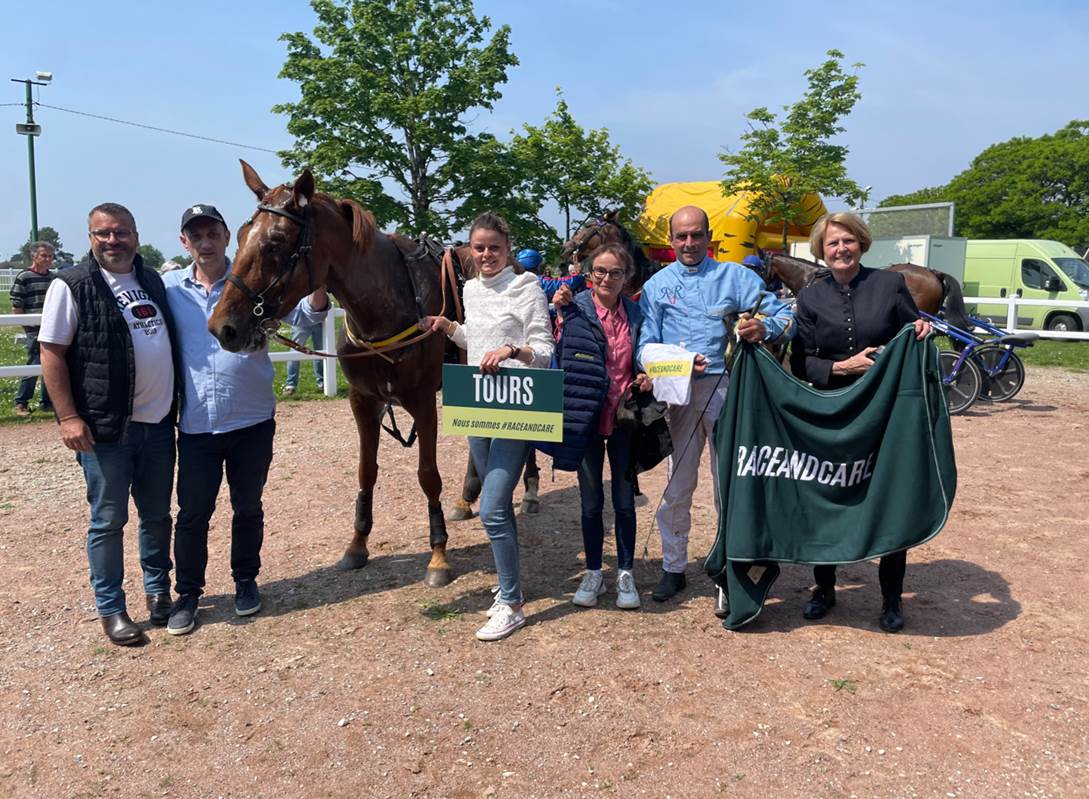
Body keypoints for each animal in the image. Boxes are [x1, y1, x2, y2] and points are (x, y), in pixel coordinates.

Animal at [210, 161, 457, 587]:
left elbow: (428, 474)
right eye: (240, 236)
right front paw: (357, 544)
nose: (223, 327)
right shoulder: (363, 401)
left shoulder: (424, 402)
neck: (391, 304)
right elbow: (366, 471)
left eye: (276, 241)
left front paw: (438, 553)